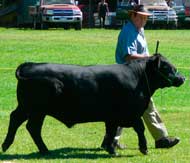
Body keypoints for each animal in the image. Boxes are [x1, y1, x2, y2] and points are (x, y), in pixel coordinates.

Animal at [1, 53, 185, 155]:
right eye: (167, 67)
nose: (182, 78)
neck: (137, 76)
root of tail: (30, 64)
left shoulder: (113, 117)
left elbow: (111, 132)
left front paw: (111, 149)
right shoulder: (129, 113)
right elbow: (139, 128)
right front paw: (143, 148)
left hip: (34, 111)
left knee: (28, 125)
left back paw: (39, 149)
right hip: (32, 108)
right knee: (21, 121)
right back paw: (10, 145)